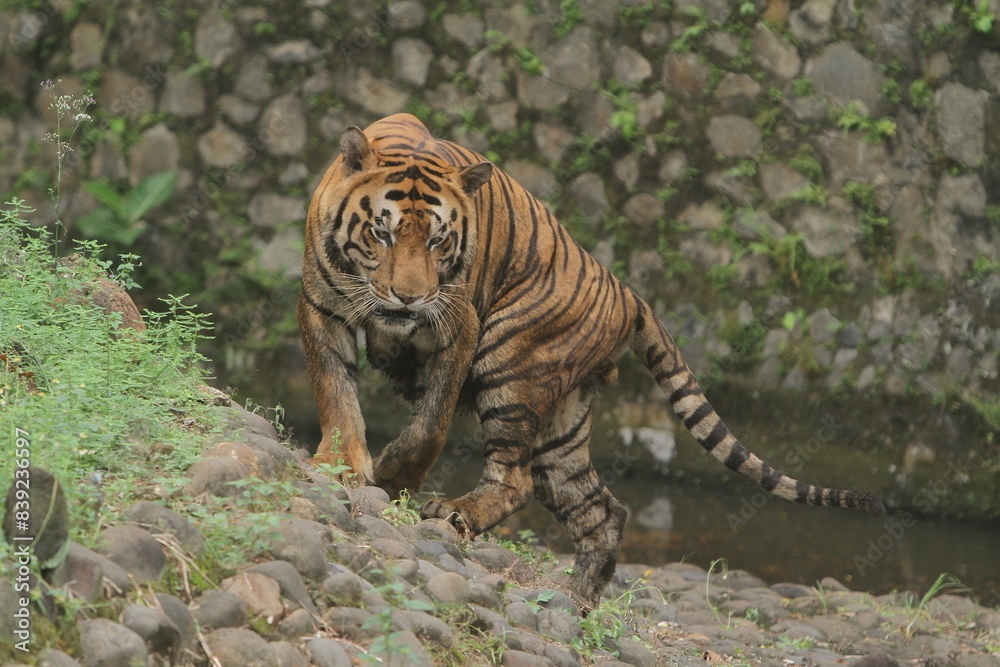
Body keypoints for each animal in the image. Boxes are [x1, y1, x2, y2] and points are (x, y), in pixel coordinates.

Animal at [298, 113, 886, 605]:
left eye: (440, 242)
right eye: (382, 232)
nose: (410, 298)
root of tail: (628, 293)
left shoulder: (458, 326)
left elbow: (430, 425)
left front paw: (393, 477)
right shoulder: (322, 306)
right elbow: (336, 393)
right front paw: (342, 464)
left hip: (509, 366)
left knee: (517, 481)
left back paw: (458, 513)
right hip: (560, 425)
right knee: (601, 507)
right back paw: (579, 596)